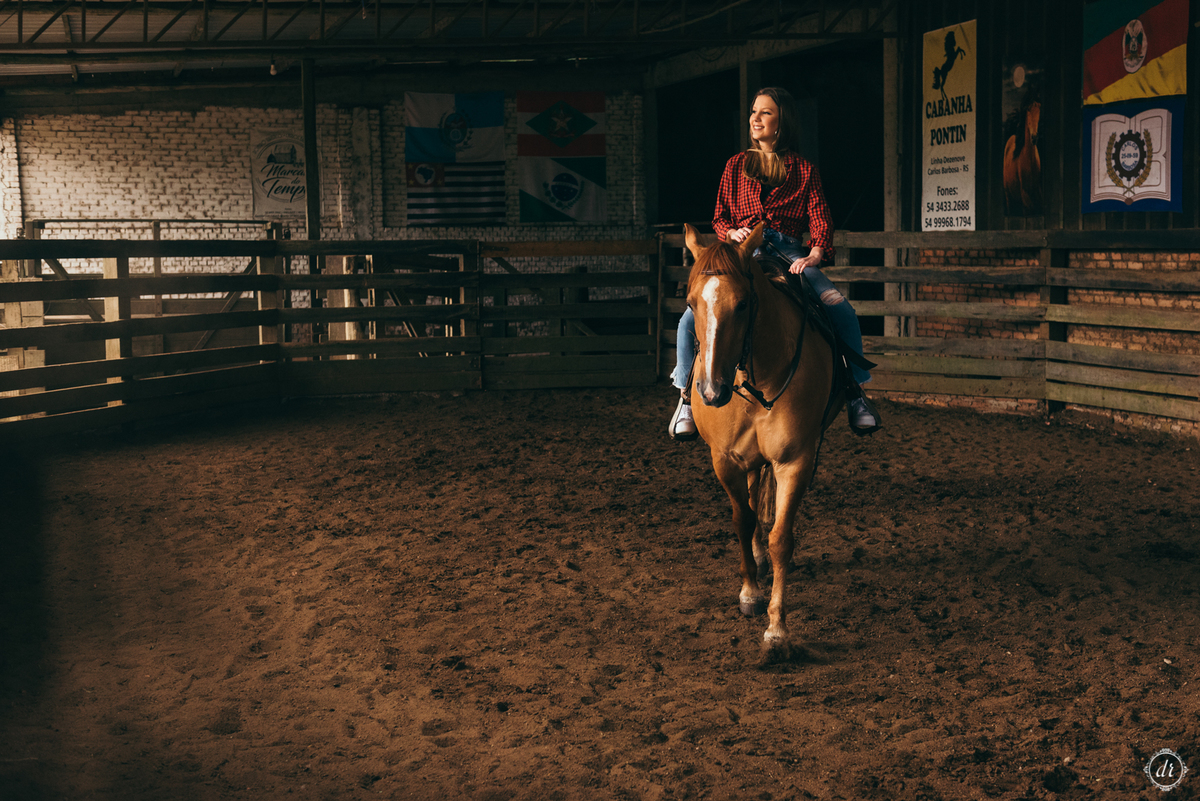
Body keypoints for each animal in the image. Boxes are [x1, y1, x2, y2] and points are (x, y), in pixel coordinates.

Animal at [682, 222, 842, 659]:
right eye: (691, 304)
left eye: (742, 304)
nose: (712, 391)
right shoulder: (725, 459)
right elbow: (743, 519)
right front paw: (750, 592)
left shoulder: (795, 461)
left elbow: (781, 539)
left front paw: (777, 631)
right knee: (754, 499)